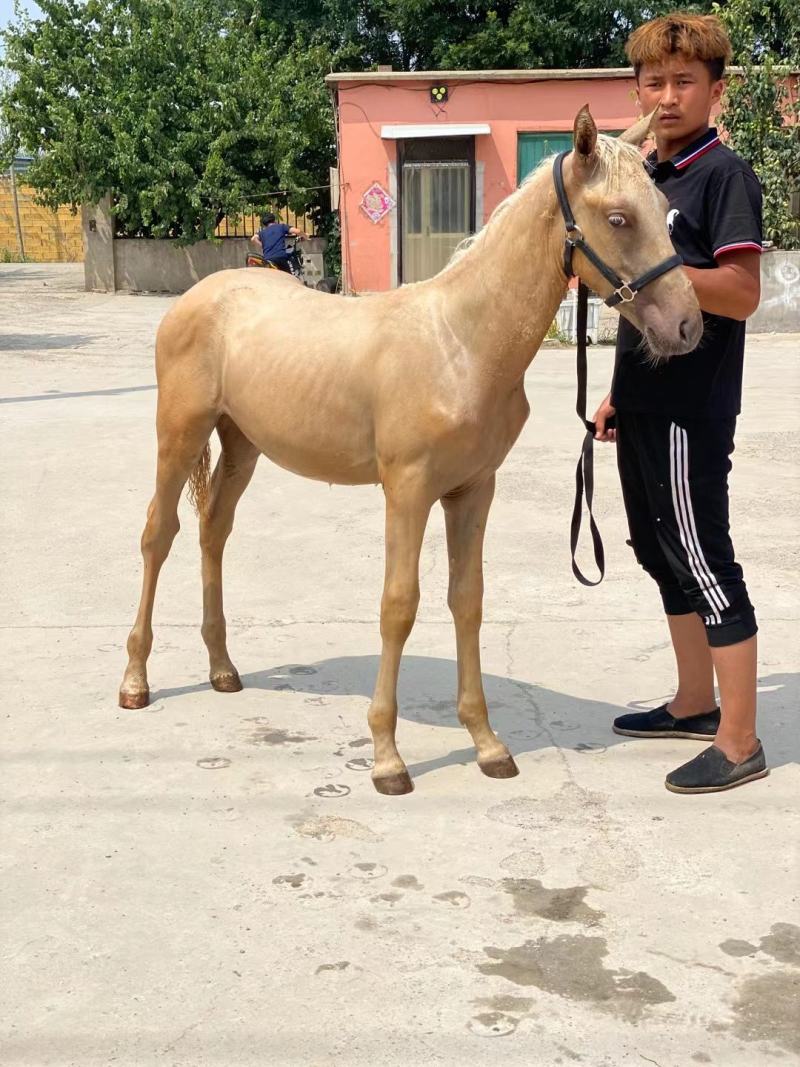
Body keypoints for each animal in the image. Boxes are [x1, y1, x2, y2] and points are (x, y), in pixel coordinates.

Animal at [119, 106, 702, 795]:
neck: (462, 344)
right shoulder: (408, 490)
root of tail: (197, 297)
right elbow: (399, 606)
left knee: (214, 532)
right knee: (159, 534)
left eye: (664, 206)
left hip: (242, 444)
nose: (688, 327)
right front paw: (388, 758)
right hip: (179, 433)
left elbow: (467, 600)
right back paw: (135, 682)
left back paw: (222, 669)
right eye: (617, 218)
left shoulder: (473, 489)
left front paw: (487, 745)